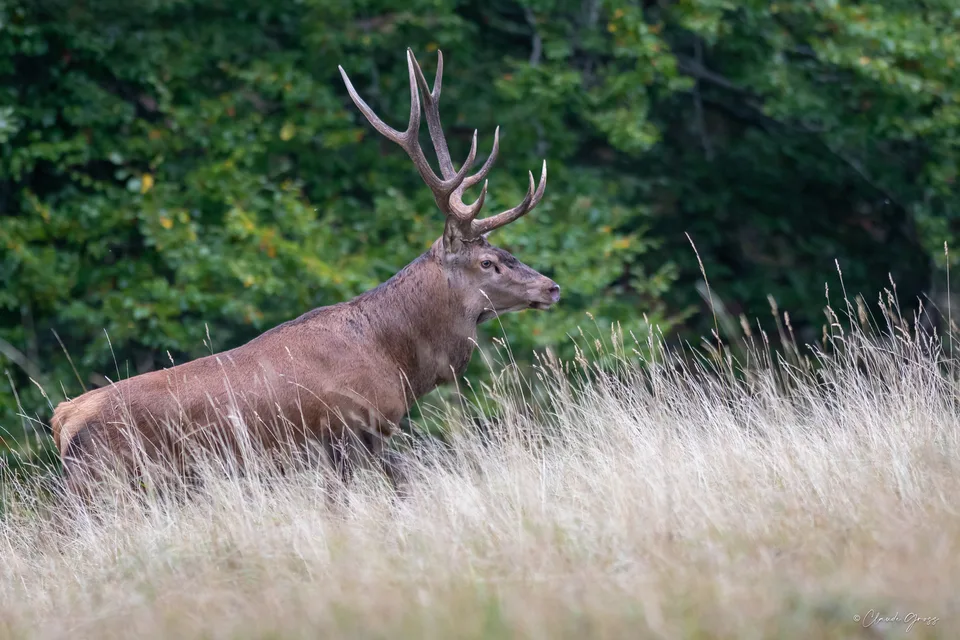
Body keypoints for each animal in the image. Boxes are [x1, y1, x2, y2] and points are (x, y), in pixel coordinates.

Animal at [50, 47, 560, 502]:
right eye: (487, 262)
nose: (551, 287)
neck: (397, 360)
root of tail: (62, 419)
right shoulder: (344, 432)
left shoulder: (372, 439)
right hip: (103, 483)